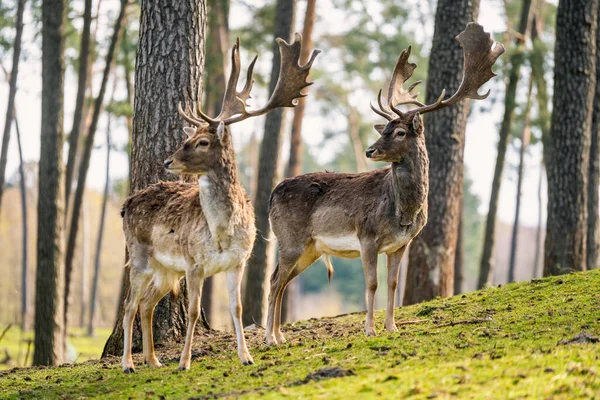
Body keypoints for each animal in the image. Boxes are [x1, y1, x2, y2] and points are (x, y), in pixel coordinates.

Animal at [119, 33, 322, 372]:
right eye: (187, 138)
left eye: (202, 141)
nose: (167, 160)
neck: (222, 234)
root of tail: (125, 204)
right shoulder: (193, 263)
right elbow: (192, 311)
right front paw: (184, 362)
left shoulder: (238, 261)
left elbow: (237, 308)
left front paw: (246, 356)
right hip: (139, 256)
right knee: (129, 306)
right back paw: (128, 363)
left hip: (166, 269)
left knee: (146, 304)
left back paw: (153, 360)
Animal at [264, 23, 504, 346]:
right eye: (384, 129)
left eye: (400, 131)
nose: (370, 151)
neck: (404, 211)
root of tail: (271, 194)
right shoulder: (367, 236)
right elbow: (372, 284)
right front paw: (370, 329)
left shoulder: (401, 244)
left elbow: (392, 284)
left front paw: (392, 327)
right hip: (290, 238)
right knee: (275, 280)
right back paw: (270, 337)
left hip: (311, 248)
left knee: (283, 280)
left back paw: (280, 335)